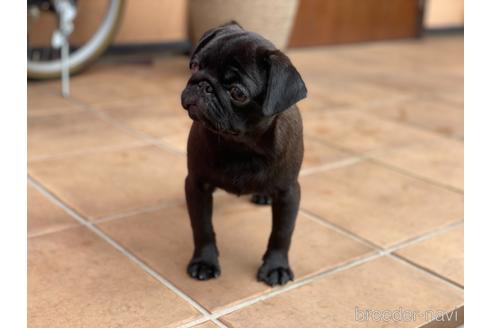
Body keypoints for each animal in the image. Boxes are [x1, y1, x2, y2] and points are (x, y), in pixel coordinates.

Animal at [181, 21, 306, 288]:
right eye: (194, 65)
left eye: (238, 93)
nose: (203, 84)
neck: (240, 145)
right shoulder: (197, 184)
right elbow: (202, 226)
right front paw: (204, 262)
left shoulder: (289, 193)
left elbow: (282, 233)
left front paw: (276, 267)